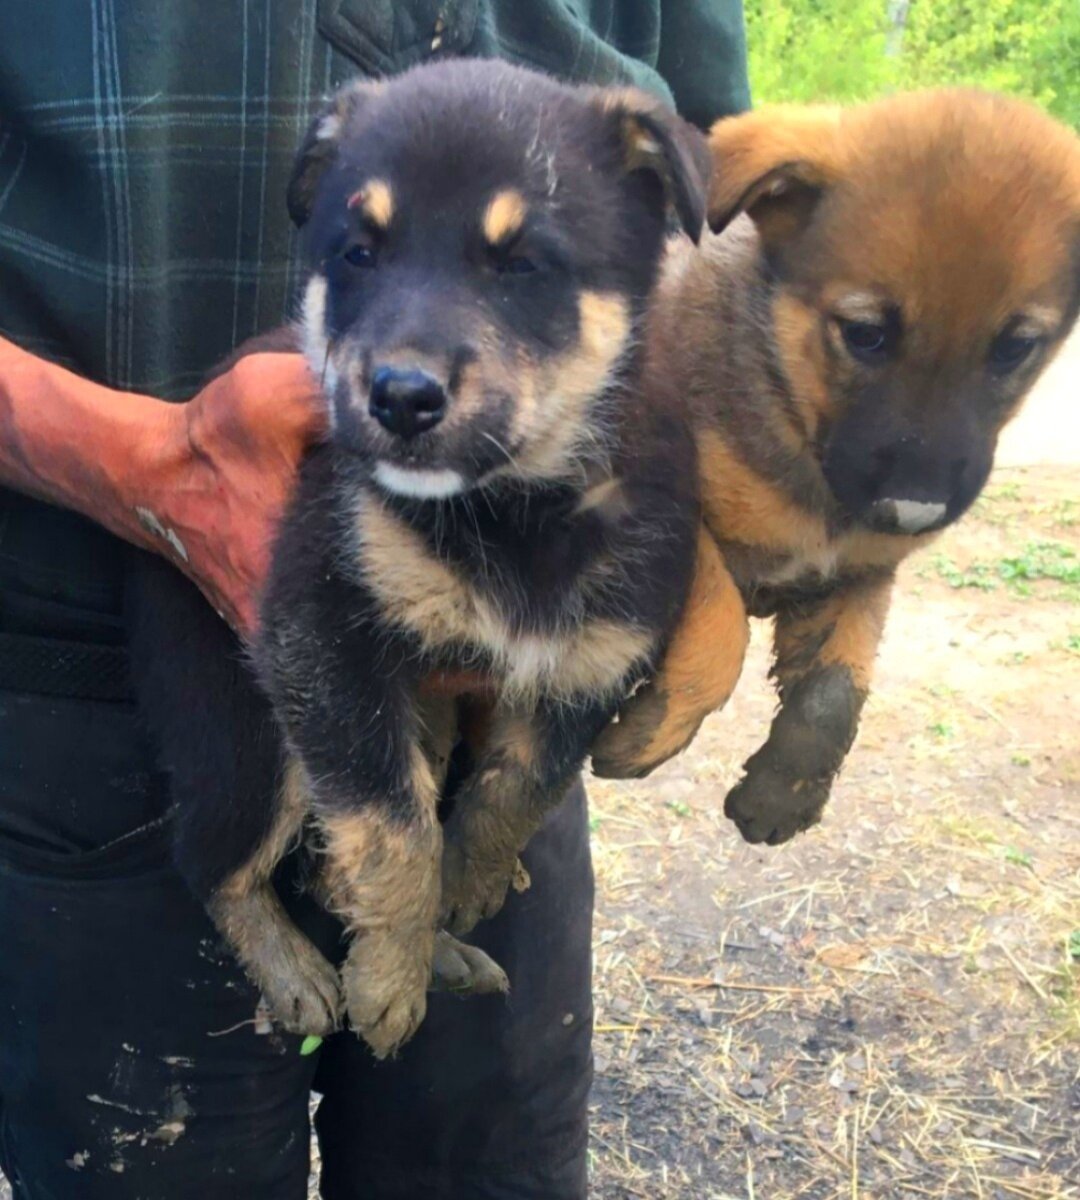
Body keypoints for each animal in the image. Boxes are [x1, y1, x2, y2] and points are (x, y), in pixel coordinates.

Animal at [130, 60, 705, 1056]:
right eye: (359, 254)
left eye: (523, 264)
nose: (400, 397)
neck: (515, 509)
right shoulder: (319, 637)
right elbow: (393, 826)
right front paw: (390, 984)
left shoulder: (591, 658)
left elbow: (516, 790)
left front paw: (467, 891)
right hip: (249, 727)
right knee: (213, 858)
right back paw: (298, 976)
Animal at [590, 91, 1080, 844]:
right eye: (865, 334)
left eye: (1015, 348)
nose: (913, 511)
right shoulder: (666, 510)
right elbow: (721, 623)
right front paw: (654, 729)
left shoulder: (859, 571)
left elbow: (837, 687)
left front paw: (783, 790)